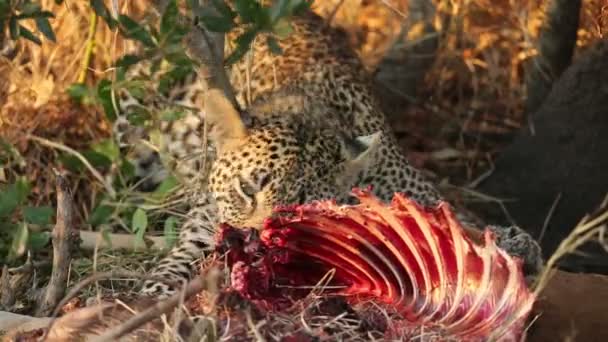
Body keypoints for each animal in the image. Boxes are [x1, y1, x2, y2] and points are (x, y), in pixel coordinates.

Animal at [114, 9, 540, 298]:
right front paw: (159, 290)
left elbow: (452, 215)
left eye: (296, 209)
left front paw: (516, 243)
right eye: (246, 190)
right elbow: (187, 249)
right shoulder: (207, 215)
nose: (251, 247)